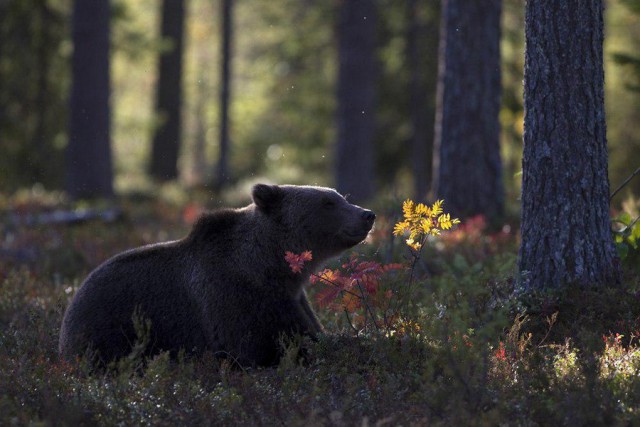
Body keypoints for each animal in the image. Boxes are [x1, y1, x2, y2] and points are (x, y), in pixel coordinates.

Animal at [59, 184, 376, 368]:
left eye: (340, 196)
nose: (367, 214)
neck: (270, 268)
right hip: (109, 329)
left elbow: (314, 334)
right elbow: (259, 348)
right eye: (327, 202)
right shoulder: (236, 298)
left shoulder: (293, 300)